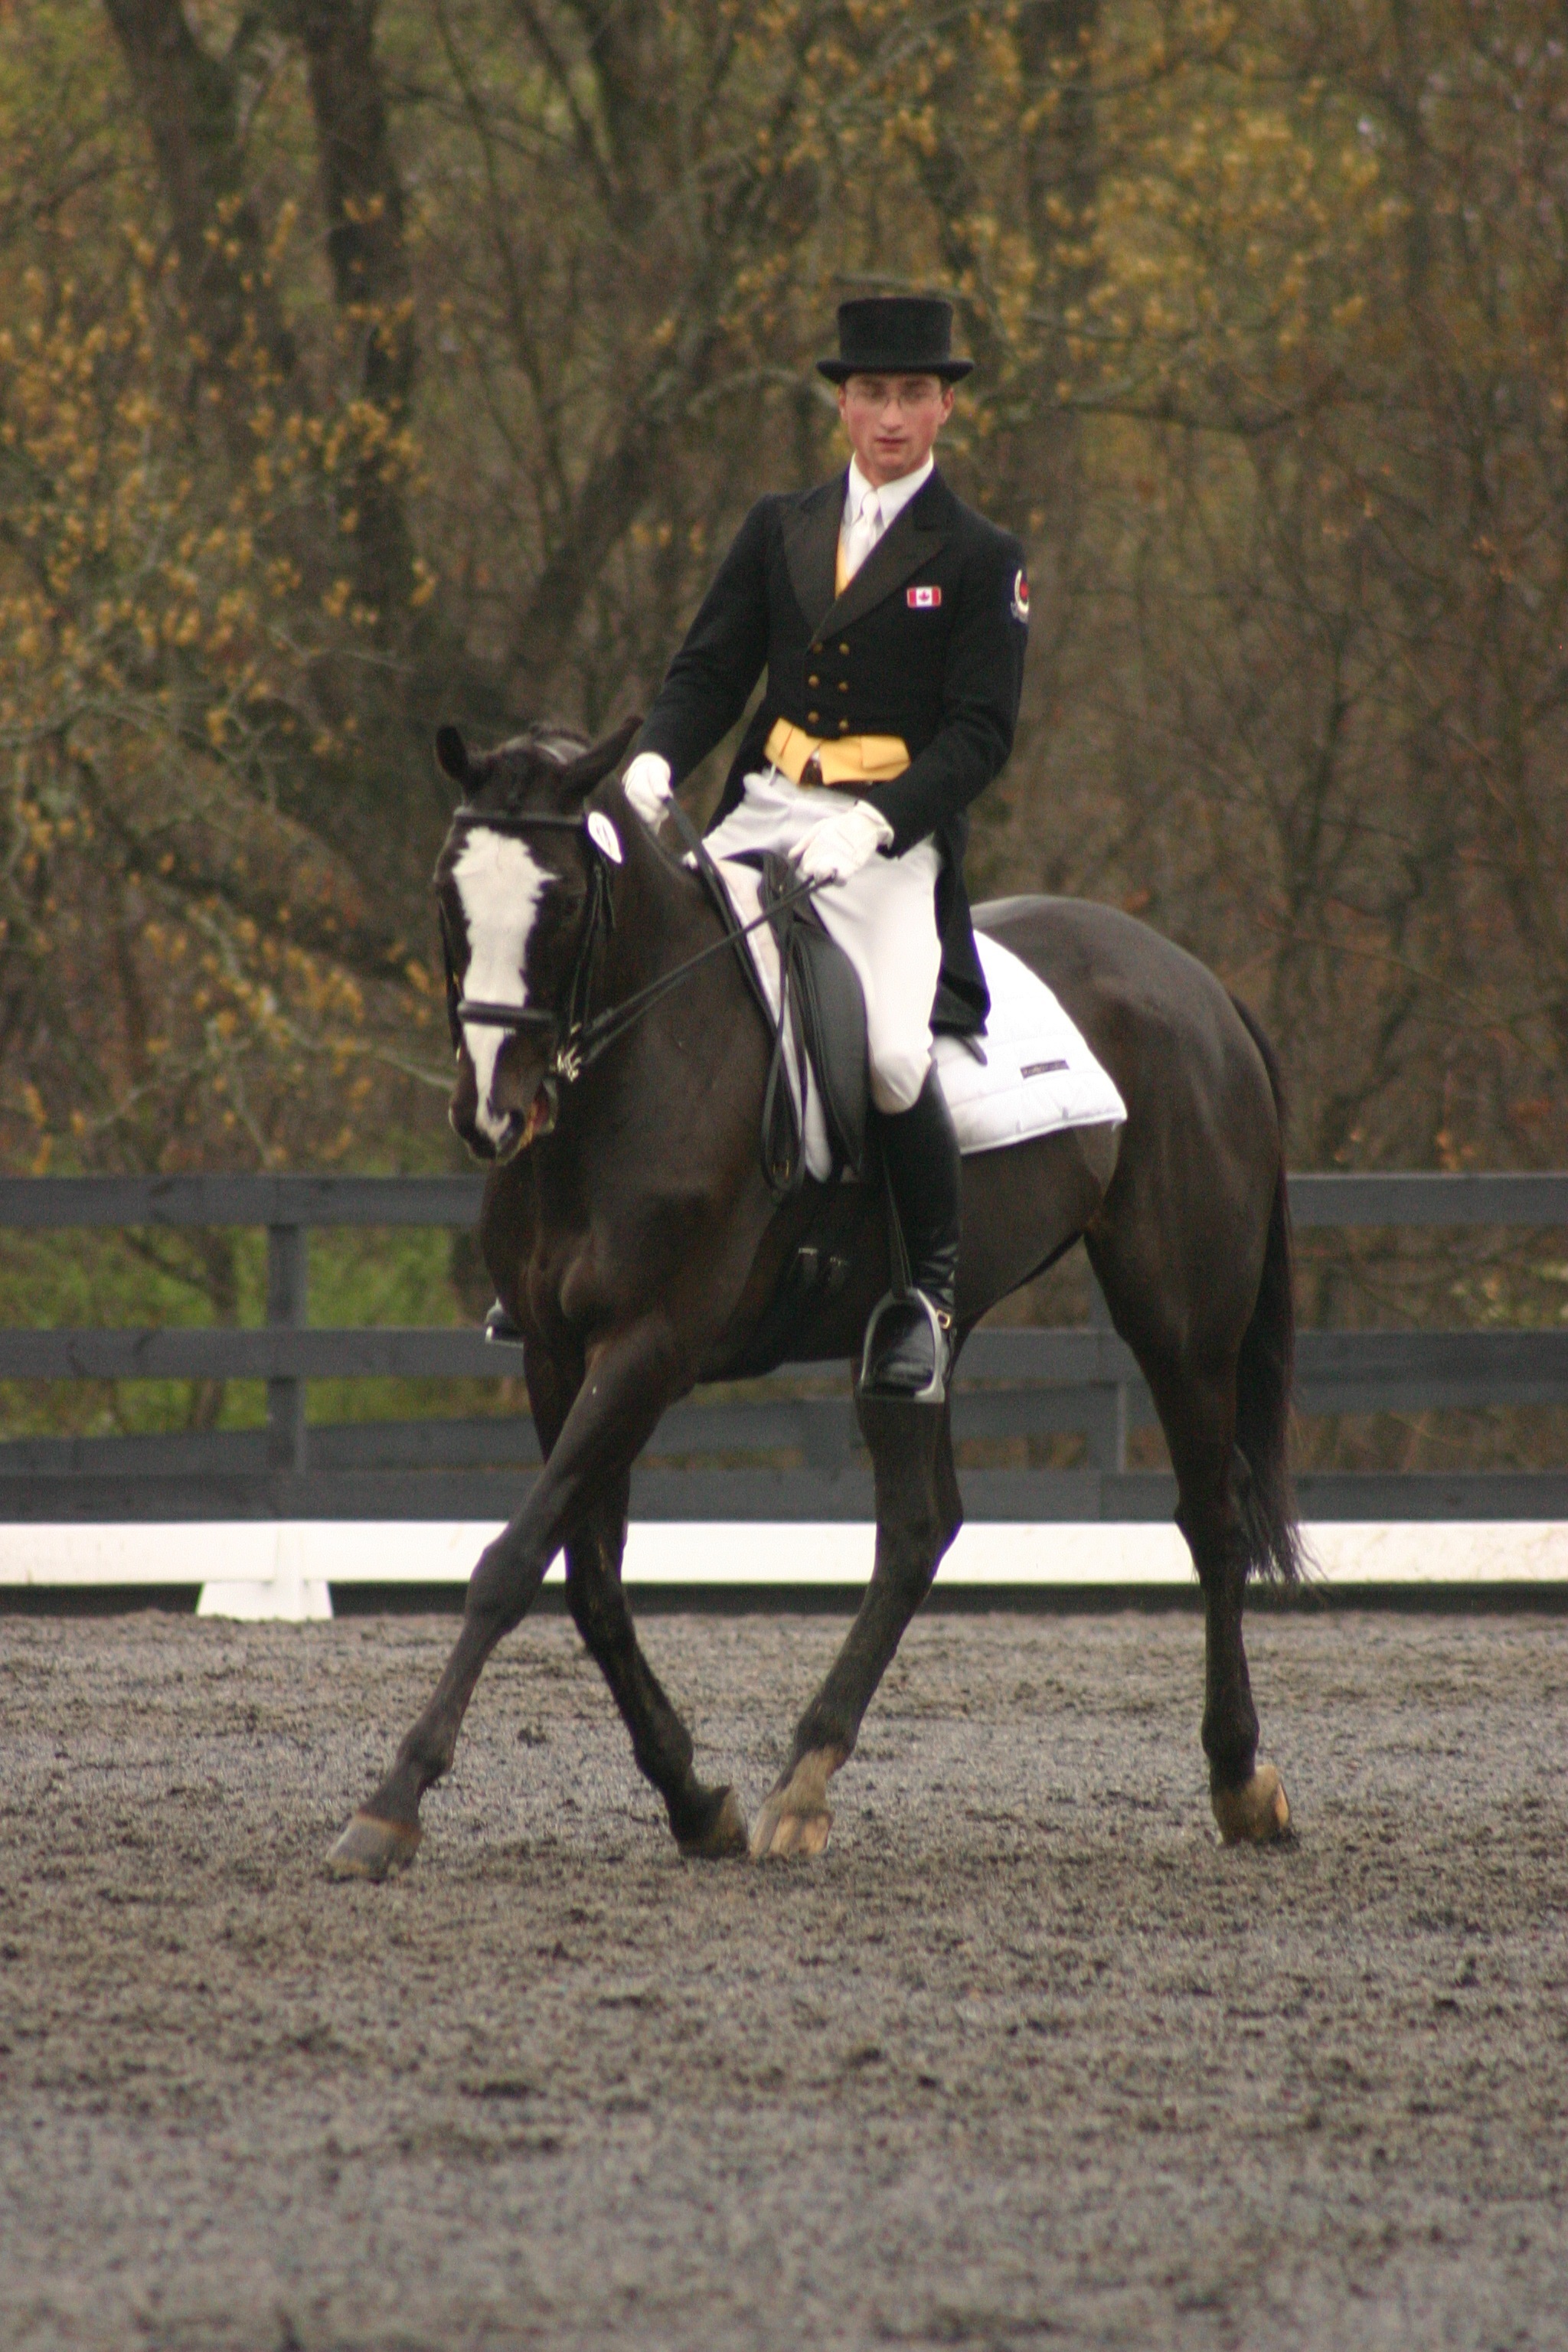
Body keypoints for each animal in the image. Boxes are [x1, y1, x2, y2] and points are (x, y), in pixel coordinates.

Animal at [327, 717, 1301, 1879]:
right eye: (448, 894)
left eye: (559, 902)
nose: (490, 1113)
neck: (634, 1070)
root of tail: (1199, 984)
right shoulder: (555, 1354)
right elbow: (593, 1585)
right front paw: (693, 1798)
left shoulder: (647, 1349)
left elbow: (512, 1563)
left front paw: (392, 1800)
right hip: (926, 1328)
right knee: (920, 1527)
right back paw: (805, 1774)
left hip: (1182, 1319)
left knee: (1209, 1521)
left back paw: (1240, 1779)